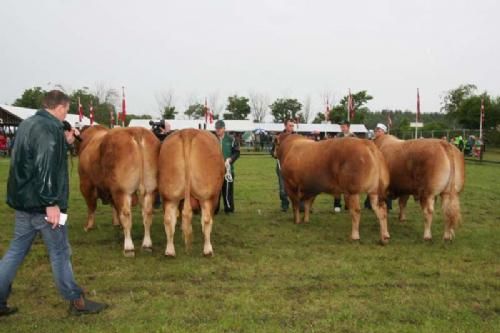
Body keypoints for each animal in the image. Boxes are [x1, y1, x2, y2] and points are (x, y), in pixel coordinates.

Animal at [78, 124, 160, 254]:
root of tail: (136, 130)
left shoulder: (86, 183)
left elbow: (91, 206)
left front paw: (88, 226)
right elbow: (114, 206)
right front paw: (117, 223)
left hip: (122, 190)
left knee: (126, 214)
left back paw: (128, 247)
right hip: (150, 189)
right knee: (147, 213)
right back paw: (147, 244)